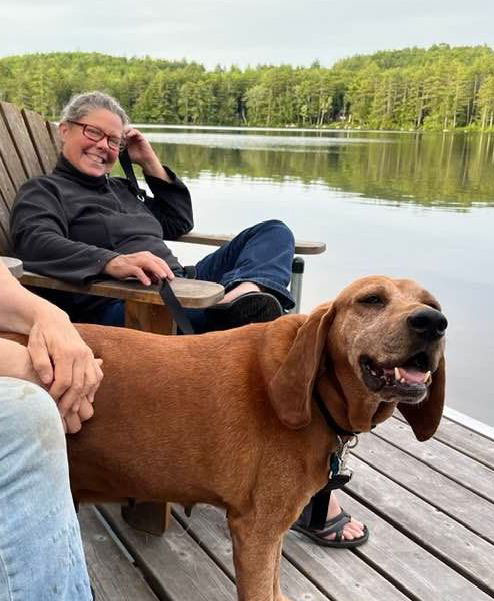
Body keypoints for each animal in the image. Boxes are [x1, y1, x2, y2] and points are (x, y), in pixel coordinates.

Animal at [2, 278, 448, 600]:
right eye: (372, 300)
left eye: (434, 305)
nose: (431, 323)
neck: (316, 392)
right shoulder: (257, 531)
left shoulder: (271, 533)